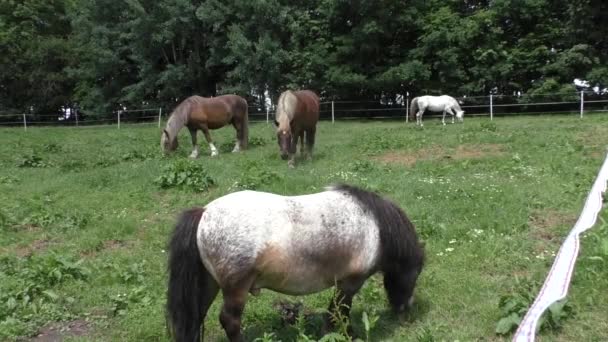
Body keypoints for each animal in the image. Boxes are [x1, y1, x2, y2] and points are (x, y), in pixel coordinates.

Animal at [164, 184, 426, 342]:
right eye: (414, 275)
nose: (405, 310)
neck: (376, 227)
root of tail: (204, 212)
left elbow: (333, 313)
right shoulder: (350, 282)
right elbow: (339, 312)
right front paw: (349, 335)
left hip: (208, 284)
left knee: (194, 317)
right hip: (235, 288)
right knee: (229, 320)